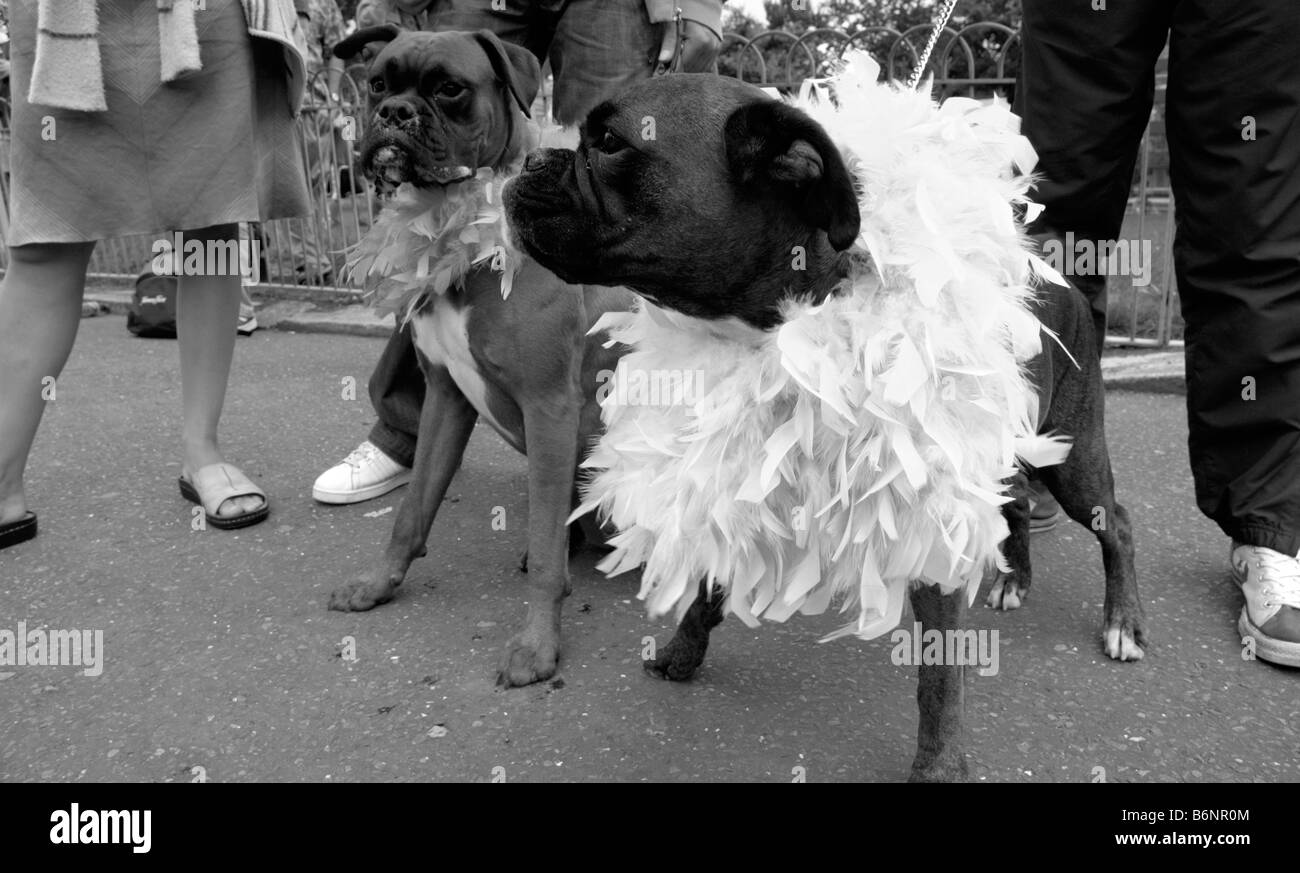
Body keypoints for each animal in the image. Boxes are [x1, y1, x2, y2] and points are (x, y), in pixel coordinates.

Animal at [322, 27, 631, 691]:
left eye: (449, 88)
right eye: (378, 83)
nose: (394, 113)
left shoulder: (549, 409)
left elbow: (545, 562)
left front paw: (537, 645)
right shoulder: (445, 397)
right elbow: (411, 510)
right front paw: (379, 584)